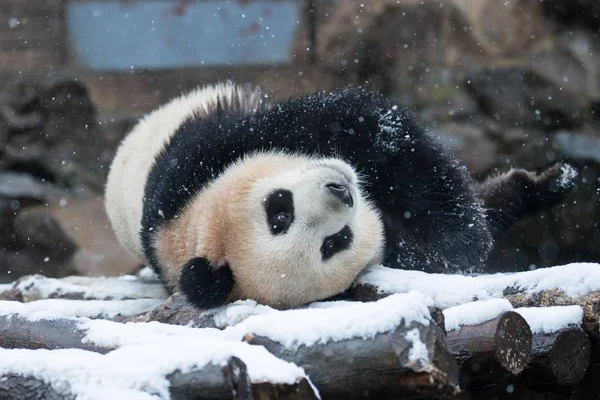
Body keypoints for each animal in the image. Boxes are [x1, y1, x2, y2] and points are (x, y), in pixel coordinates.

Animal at [105, 82, 580, 310]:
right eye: (334, 244)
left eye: (279, 210)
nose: (341, 191)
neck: (186, 228)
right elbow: (432, 254)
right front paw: (463, 242)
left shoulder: (200, 159)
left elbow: (359, 121)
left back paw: (548, 182)